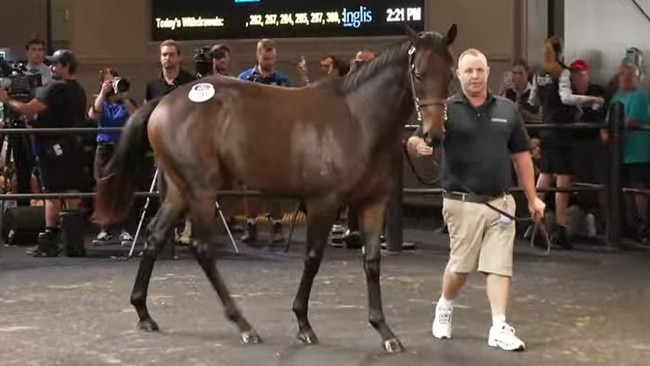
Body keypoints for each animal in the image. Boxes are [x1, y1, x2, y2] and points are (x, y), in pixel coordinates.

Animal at [93, 24, 456, 354]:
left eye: (450, 73)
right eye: (419, 74)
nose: (433, 136)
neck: (357, 119)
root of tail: (164, 102)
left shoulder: (373, 203)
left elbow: (372, 262)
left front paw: (384, 330)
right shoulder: (323, 203)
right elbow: (313, 258)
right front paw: (304, 324)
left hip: (179, 190)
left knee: (154, 236)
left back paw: (143, 313)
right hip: (201, 190)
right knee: (203, 248)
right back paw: (243, 325)